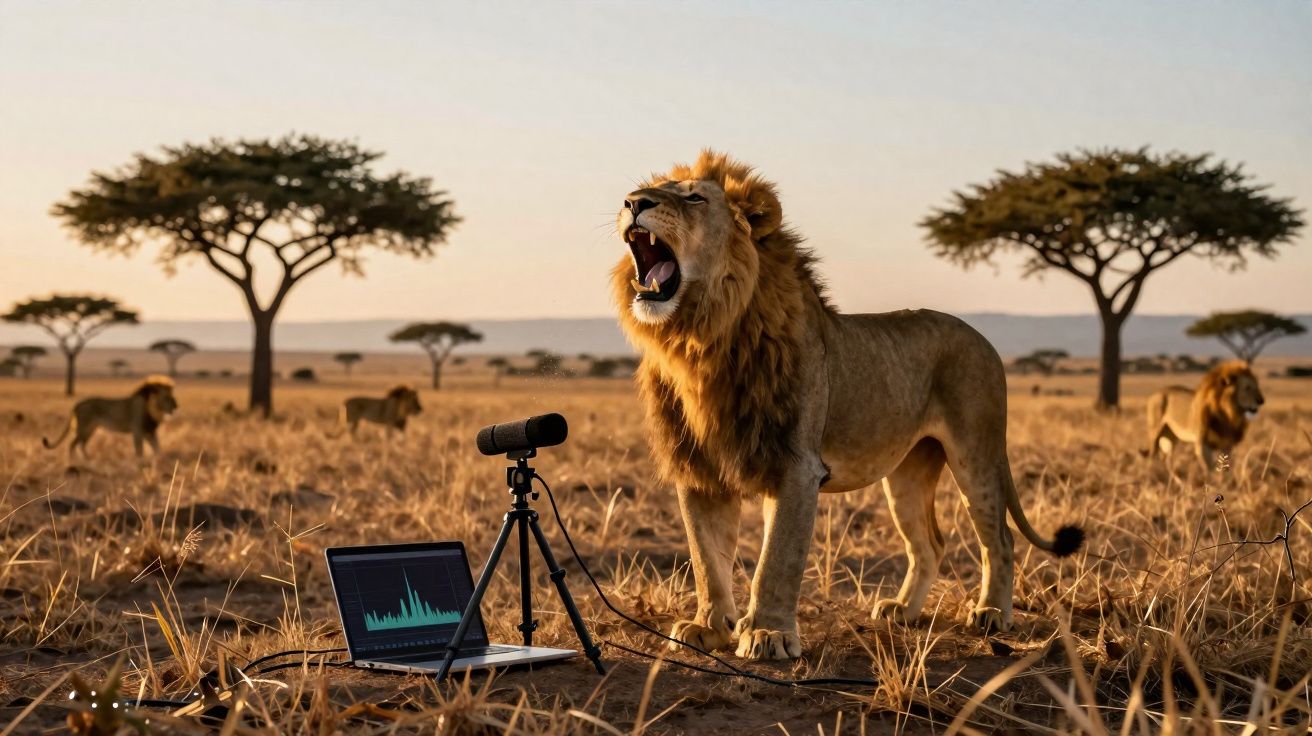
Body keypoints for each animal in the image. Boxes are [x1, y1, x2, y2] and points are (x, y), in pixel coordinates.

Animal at [43, 376, 178, 457]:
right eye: (167, 397)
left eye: (172, 395)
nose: (176, 405)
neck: (154, 409)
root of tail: (78, 404)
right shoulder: (138, 431)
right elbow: (139, 450)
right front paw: (140, 463)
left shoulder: (149, 432)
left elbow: (157, 448)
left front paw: (158, 460)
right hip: (83, 428)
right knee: (73, 444)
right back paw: (75, 461)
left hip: (90, 429)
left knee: (82, 444)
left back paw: (88, 460)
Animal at [611, 151, 1082, 660]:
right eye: (651, 188)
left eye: (695, 197)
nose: (633, 202)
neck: (700, 341)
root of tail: (984, 340)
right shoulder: (699, 471)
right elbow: (706, 559)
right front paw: (710, 628)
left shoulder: (796, 467)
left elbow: (776, 560)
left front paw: (768, 634)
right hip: (908, 472)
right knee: (930, 544)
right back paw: (902, 611)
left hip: (975, 452)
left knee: (999, 538)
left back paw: (992, 614)